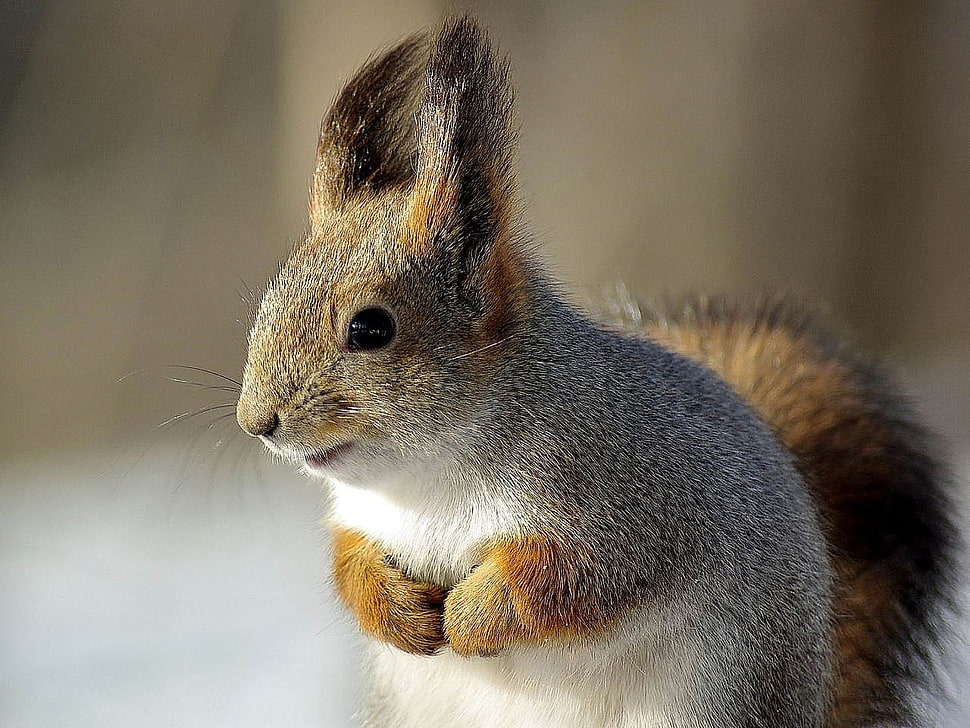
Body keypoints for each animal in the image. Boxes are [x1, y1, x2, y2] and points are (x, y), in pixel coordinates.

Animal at [236, 16, 957, 728]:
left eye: (370, 328)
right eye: (271, 296)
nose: (256, 422)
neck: (427, 477)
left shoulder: (630, 511)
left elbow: (567, 582)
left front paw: (470, 617)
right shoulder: (361, 520)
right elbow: (350, 563)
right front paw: (399, 612)